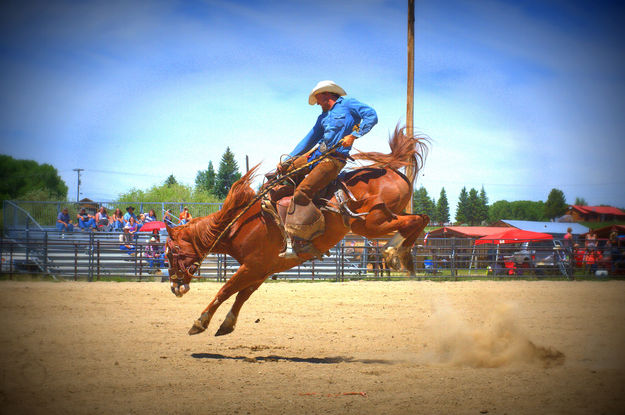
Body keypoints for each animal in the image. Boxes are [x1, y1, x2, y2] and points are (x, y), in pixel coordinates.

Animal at [166, 127, 428, 338]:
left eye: (172, 251)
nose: (175, 288)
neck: (240, 225)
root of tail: (391, 170)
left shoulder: (251, 266)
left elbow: (225, 290)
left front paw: (200, 322)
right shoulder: (261, 270)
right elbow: (242, 296)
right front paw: (227, 325)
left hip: (371, 222)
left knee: (415, 221)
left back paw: (394, 252)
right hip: (382, 218)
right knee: (420, 219)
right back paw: (402, 256)